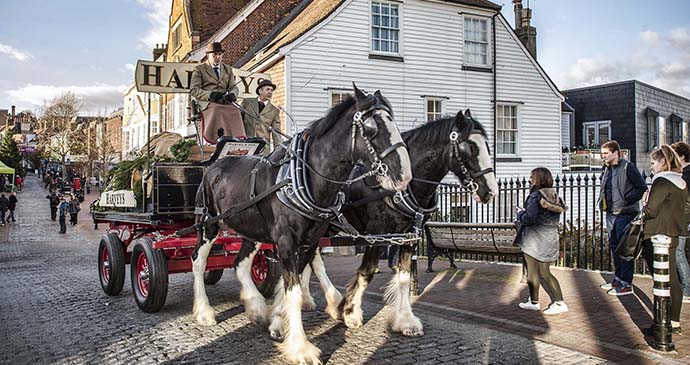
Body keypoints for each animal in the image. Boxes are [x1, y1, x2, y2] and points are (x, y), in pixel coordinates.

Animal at [189, 84, 408, 362]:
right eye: (370, 127)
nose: (404, 175)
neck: (305, 179)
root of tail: (213, 164)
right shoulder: (285, 242)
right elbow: (292, 292)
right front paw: (300, 348)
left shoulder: (309, 241)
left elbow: (290, 286)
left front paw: (277, 324)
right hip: (208, 224)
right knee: (198, 261)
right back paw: (204, 312)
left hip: (251, 229)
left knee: (240, 264)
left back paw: (257, 308)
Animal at [253, 108, 494, 338]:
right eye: (467, 148)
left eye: (488, 146)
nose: (490, 191)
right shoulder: (377, 234)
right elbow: (366, 271)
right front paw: (350, 311)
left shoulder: (409, 236)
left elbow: (404, 277)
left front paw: (406, 321)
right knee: (313, 261)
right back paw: (327, 301)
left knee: (311, 261)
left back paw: (310, 300)